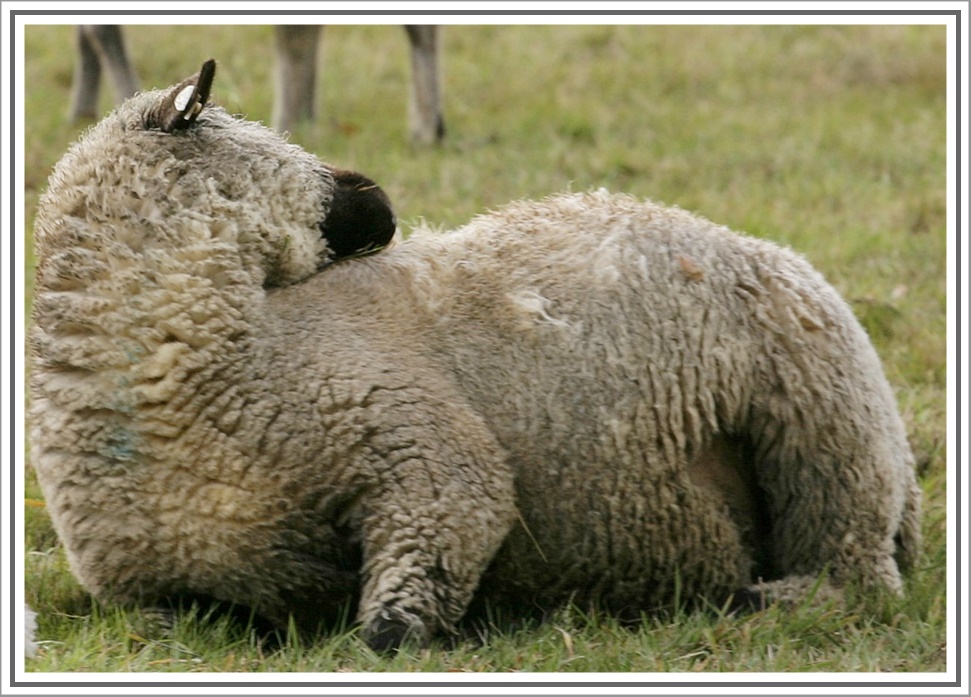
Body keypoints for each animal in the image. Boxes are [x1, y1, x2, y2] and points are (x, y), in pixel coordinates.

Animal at [30, 61, 924, 652]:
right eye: (263, 143)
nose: (382, 200)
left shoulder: (433, 466)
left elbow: (389, 631)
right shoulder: (154, 597)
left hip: (825, 434)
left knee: (852, 584)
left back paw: (737, 599)